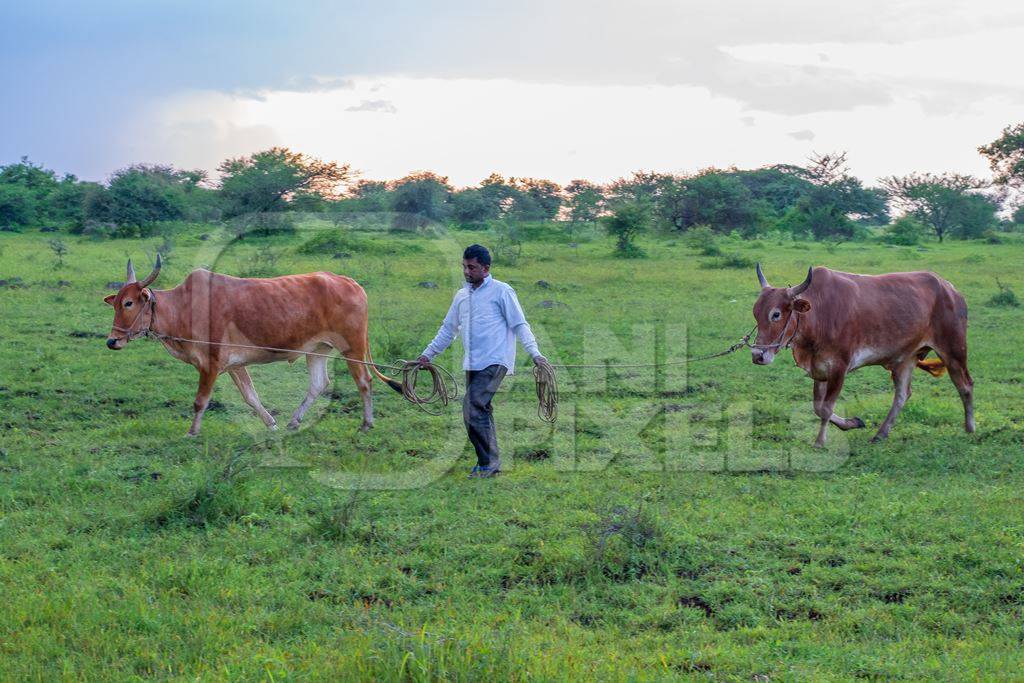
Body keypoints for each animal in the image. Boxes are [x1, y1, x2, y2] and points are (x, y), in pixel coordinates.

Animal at [102, 255, 399, 438]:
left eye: (129, 303)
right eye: (115, 303)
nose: (112, 341)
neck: (184, 306)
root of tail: (351, 282)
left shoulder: (210, 364)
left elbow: (200, 401)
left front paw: (191, 432)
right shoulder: (234, 366)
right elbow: (251, 397)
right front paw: (271, 424)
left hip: (352, 348)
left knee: (364, 381)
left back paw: (366, 423)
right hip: (318, 349)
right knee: (318, 384)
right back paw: (294, 421)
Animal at [753, 266, 974, 448]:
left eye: (776, 314)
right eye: (755, 313)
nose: (757, 355)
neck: (820, 312)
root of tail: (950, 289)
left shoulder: (839, 368)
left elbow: (826, 408)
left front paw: (819, 442)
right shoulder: (820, 369)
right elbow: (818, 407)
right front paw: (852, 423)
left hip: (953, 350)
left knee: (965, 385)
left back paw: (970, 428)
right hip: (906, 358)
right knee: (902, 394)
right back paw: (880, 434)